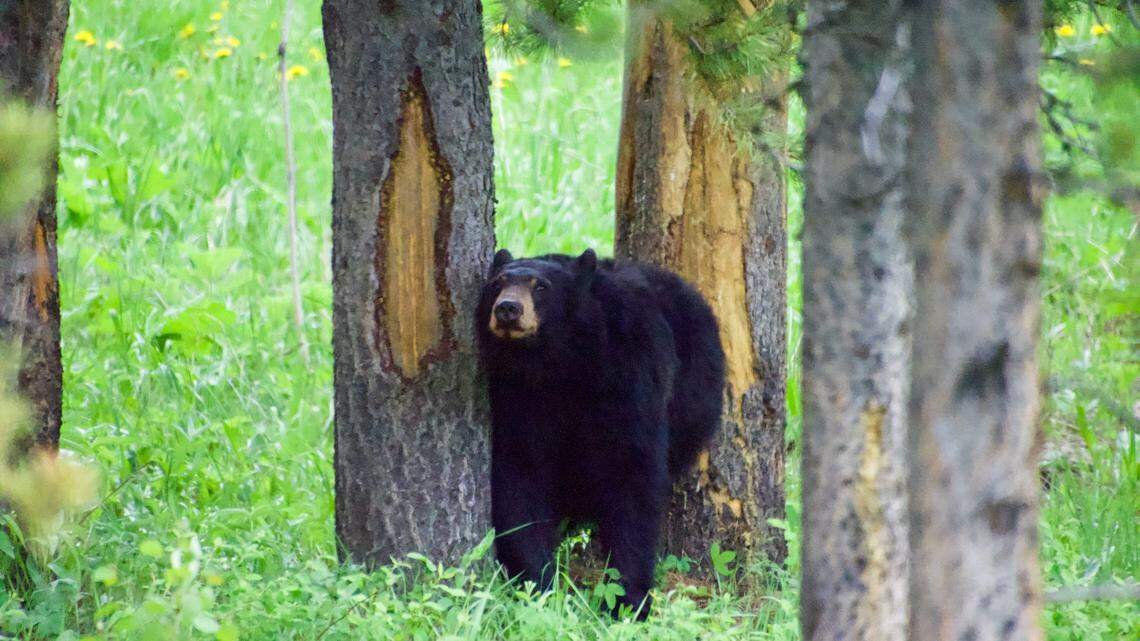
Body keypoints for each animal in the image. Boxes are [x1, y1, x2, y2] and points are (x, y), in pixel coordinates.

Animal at [475, 247, 726, 618]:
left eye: (541, 286)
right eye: (497, 283)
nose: (507, 308)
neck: (558, 362)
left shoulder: (630, 375)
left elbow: (633, 474)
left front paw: (630, 600)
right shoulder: (517, 397)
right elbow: (519, 476)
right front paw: (538, 585)